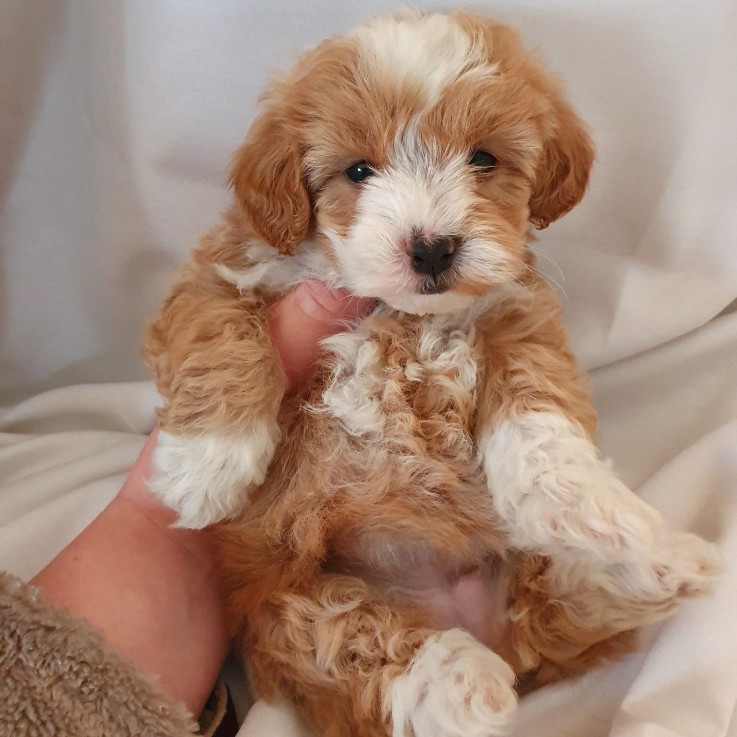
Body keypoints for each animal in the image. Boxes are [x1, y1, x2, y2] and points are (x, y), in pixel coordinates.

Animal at [145, 11, 720, 736]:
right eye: (358, 170)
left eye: (483, 158)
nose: (432, 248)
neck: (401, 315)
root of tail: (478, 625)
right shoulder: (224, 270)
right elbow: (217, 332)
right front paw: (206, 466)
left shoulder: (515, 308)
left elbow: (536, 401)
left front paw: (573, 496)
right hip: (285, 603)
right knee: (354, 646)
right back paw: (461, 680)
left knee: (554, 610)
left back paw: (654, 564)